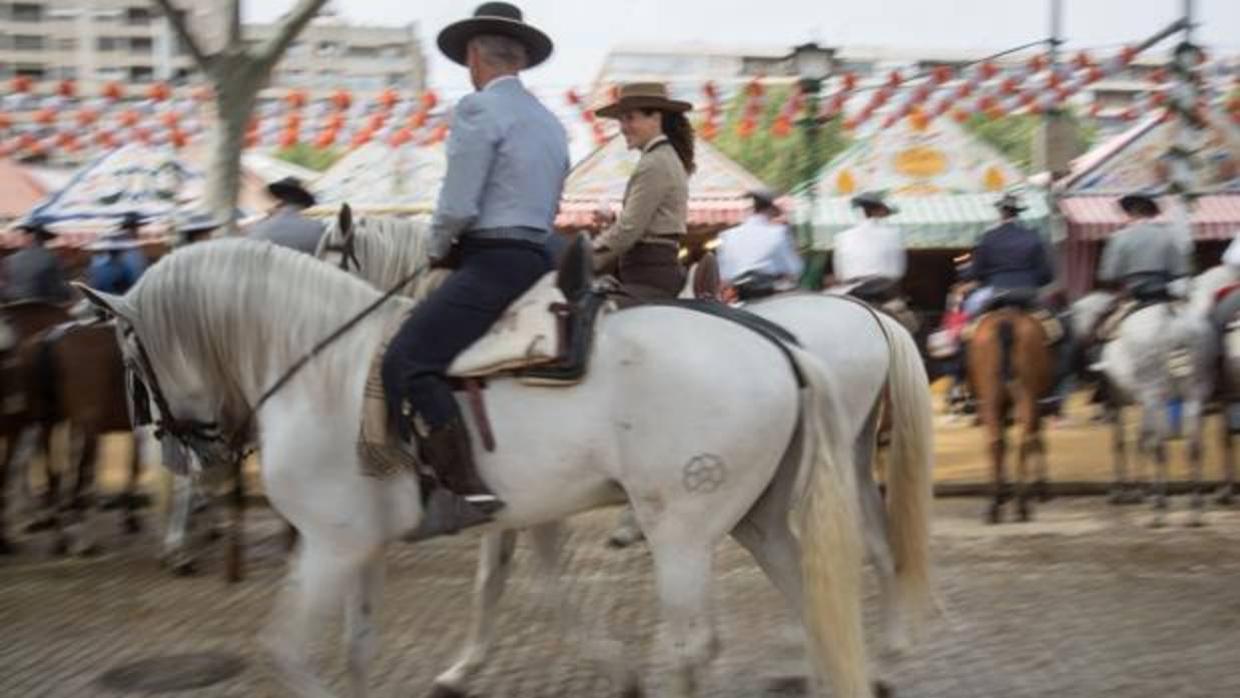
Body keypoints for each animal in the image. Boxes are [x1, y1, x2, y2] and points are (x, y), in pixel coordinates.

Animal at [82, 240, 877, 698]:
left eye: (128, 355)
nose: (179, 449)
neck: (322, 367)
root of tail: (781, 344)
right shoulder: (369, 546)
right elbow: (365, 645)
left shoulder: (332, 545)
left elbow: (289, 652)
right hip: (755, 519)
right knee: (808, 600)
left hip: (681, 530)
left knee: (692, 645)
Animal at [314, 216, 932, 694]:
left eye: (327, 250)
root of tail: (869, 316)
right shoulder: (520, 497)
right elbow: (498, 577)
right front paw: (464, 668)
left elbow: (502, 577)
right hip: (846, 455)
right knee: (866, 545)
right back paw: (878, 653)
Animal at [967, 308, 1056, 520]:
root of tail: (1006, 321)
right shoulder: (1038, 403)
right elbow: (1039, 438)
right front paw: (1042, 488)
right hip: (1025, 395)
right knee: (1023, 440)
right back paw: (1020, 504)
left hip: (993, 398)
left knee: (997, 441)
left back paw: (995, 506)